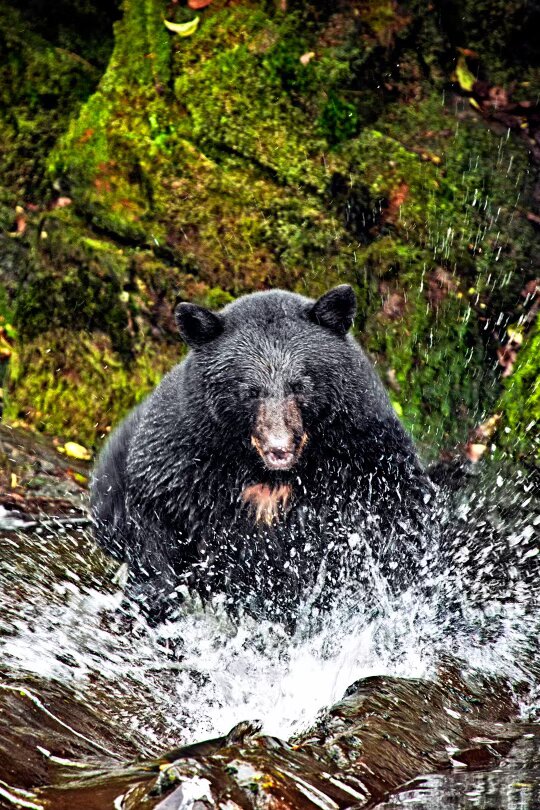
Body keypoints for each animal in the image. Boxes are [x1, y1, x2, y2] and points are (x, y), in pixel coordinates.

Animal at [90, 288, 432, 620]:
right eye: (250, 391)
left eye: (300, 386)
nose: (278, 448)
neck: (268, 476)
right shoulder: (184, 451)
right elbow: (153, 508)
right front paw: (155, 591)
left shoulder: (365, 453)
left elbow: (398, 524)